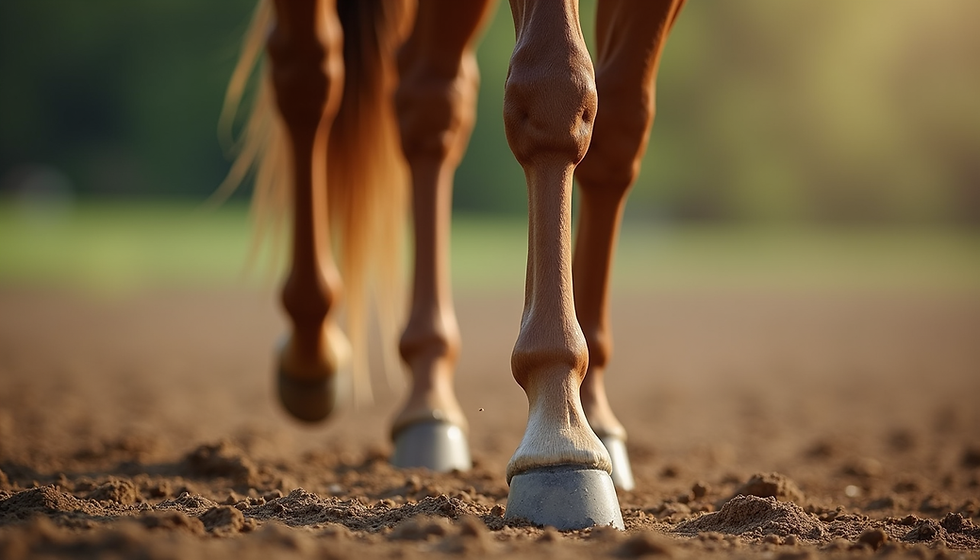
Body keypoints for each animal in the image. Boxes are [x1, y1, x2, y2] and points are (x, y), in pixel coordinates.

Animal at [221, 0, 685, 530]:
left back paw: (427, 397)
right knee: (310, 72)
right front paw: (562, 434)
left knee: (431, 98)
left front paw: (589, 415)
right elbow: (555, 86)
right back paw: (319, 356)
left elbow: (619, 123)